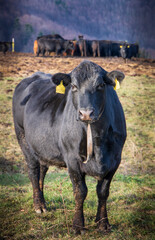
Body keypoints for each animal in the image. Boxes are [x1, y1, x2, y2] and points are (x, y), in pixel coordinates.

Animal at [12, 61, 126, 233]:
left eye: (100, 85)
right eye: (73, 86)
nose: (86, 113)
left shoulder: (114, 160)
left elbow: (103, 192)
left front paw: (103, 223)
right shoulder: (72, 160)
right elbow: (80, 192)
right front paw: (78, 226)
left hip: (42, 148)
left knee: (42, 172)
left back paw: (43, 203)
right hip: (23, 139)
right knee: (33, 172)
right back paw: (38, 205)